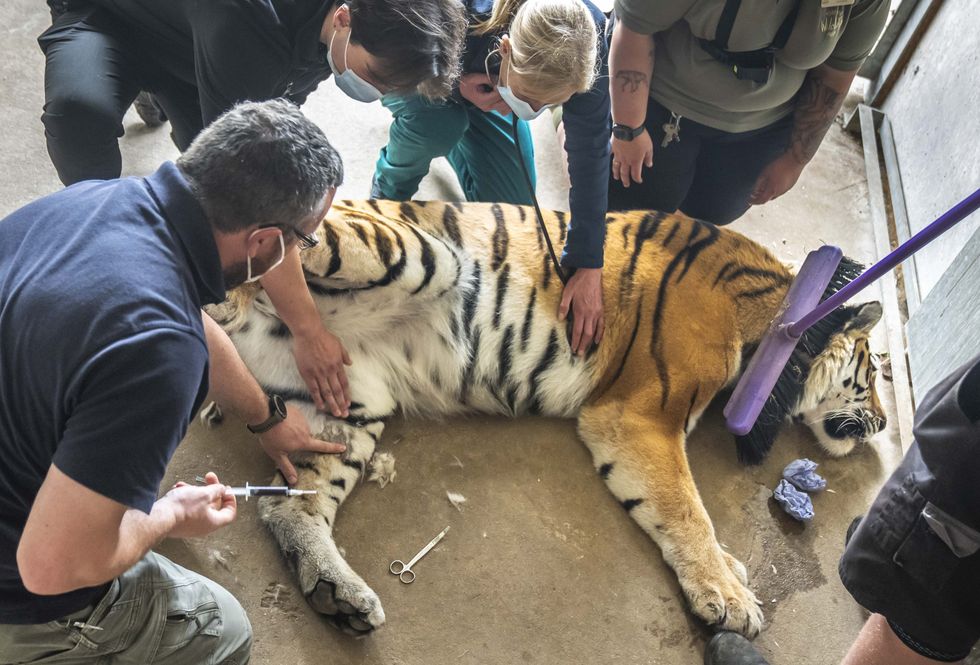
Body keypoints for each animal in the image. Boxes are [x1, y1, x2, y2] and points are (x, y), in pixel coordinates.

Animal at [207, 199, 887, 639]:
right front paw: (729, 596)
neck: (778, 318)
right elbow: (686, 508)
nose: (883, 426)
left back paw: (337, 596)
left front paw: (732, 573)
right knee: (272, 241)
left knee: (288, 507)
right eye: (877, 369)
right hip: (413, 250)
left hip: (344, 404)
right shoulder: (641, 416)